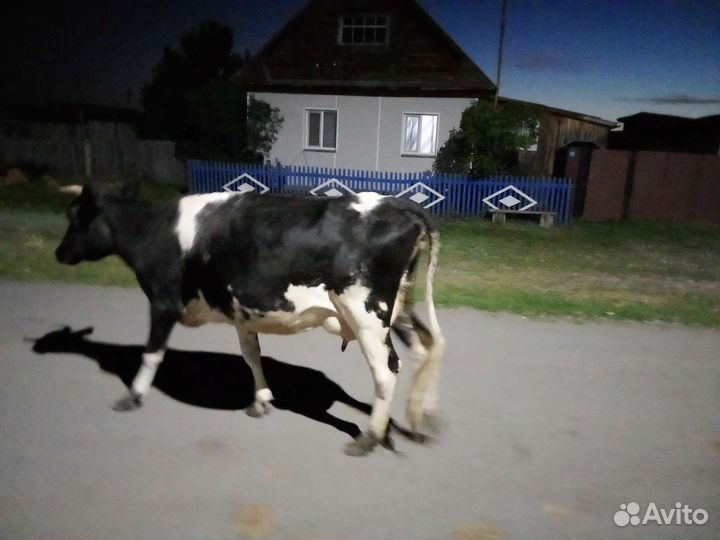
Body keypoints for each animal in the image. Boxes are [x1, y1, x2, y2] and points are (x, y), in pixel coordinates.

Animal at [55, 184, 446, 456]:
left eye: (75, 219)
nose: (59, 252)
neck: (152, 230)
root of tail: (399, 204)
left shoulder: (163, 301)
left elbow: (152, 353)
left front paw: (133, 396)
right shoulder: (241, 310)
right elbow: (250, 355)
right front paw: (261, 400)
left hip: (366, 312)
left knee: (387, 370)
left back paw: (369, 438)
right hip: (396, 307)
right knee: (426, 348)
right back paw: (419, 421)